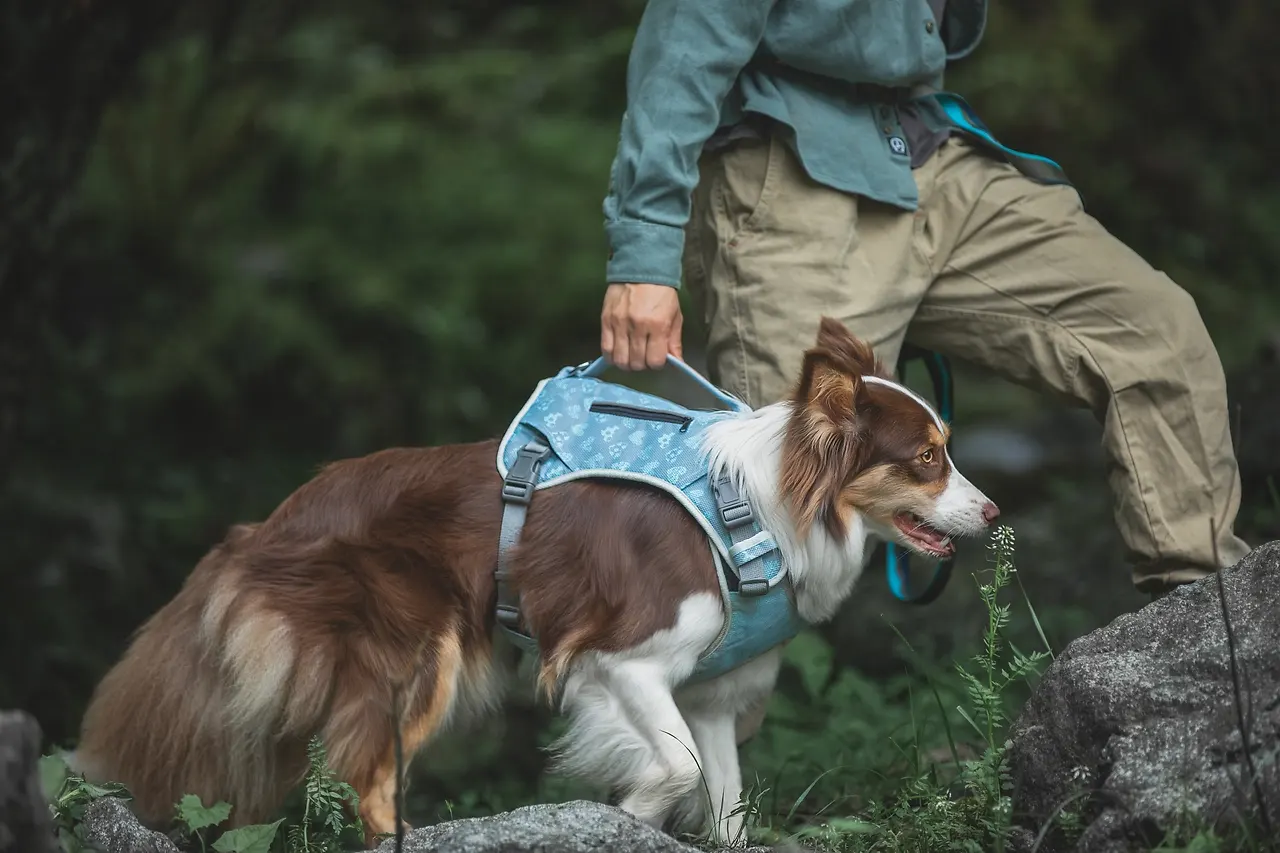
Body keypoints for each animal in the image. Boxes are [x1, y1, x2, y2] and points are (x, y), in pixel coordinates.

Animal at [72, 317, 998, 845]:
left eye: (948, 449)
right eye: (926, 458)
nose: (992, 513)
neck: (765, 510)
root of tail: (259, 527)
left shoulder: (711, 693)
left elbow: (729, 801)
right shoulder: (620, 662)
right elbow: (676, 768)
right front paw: (630, 814)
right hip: (422, 653)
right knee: (363, 777)